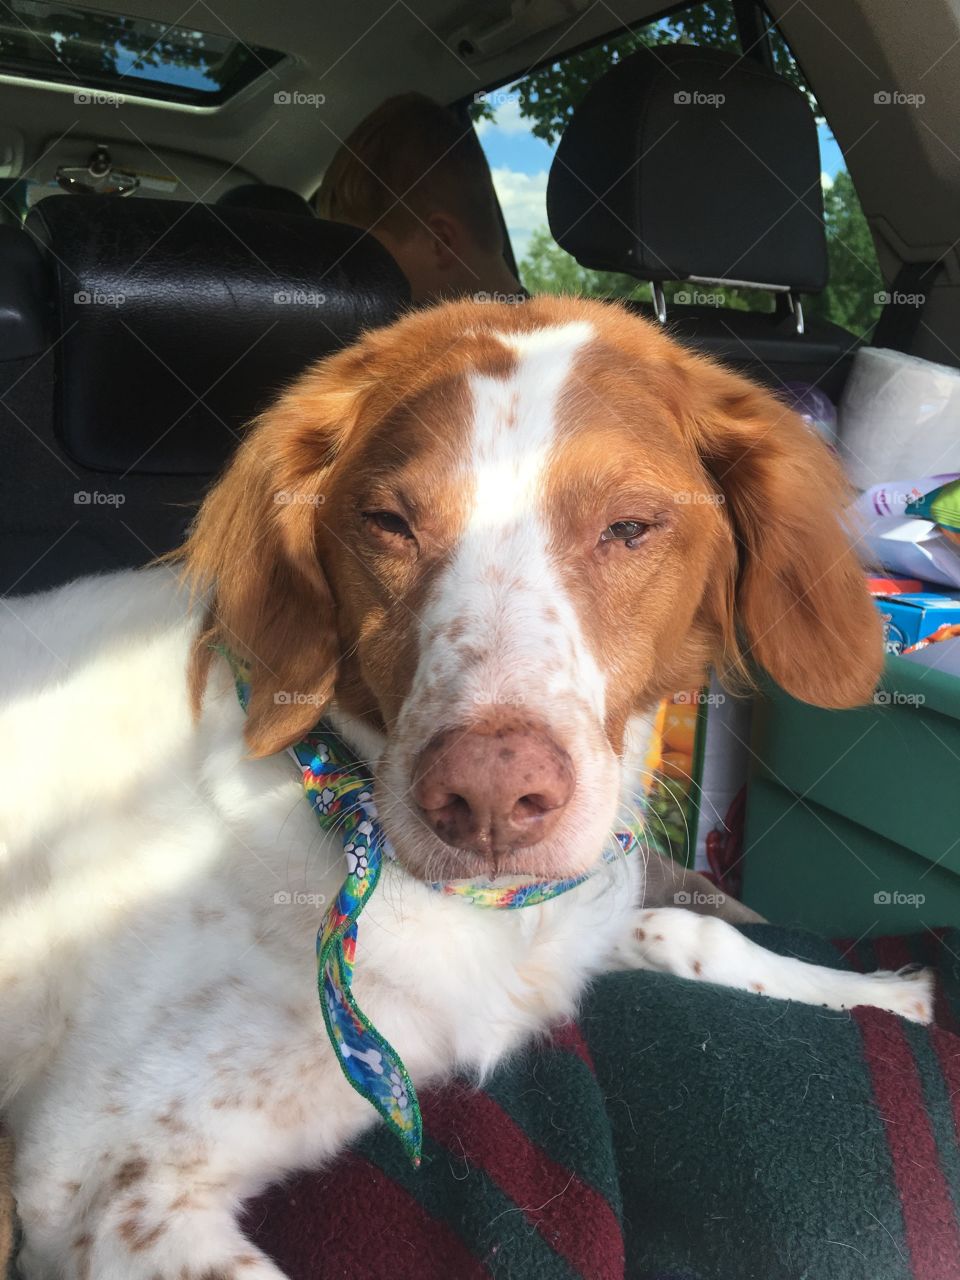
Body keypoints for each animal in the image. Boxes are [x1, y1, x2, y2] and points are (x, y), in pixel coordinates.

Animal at [0, 302, 931, 1280]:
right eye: (386, 521)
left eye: (631, 526)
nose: (486, 799)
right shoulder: (101, 1180)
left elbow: (692, 931)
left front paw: (882, 995)